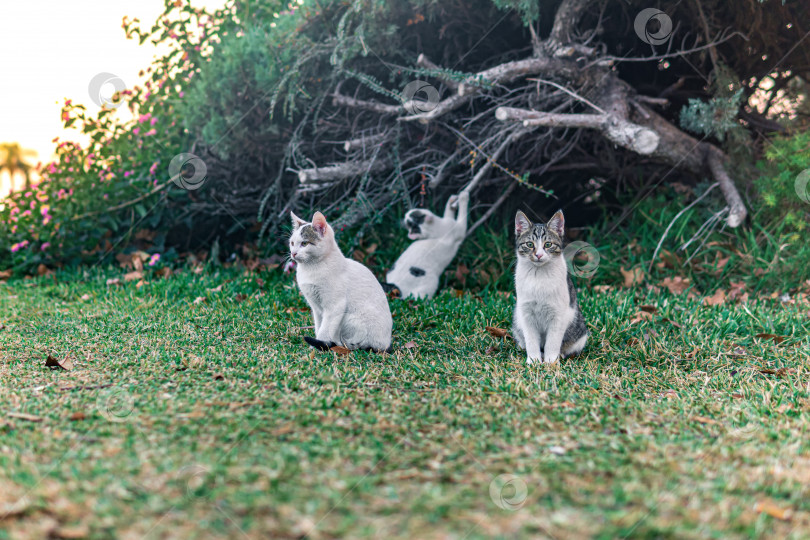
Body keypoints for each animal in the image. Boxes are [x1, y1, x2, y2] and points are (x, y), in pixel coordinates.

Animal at [288, 211, 392, 354]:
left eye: (304, 243)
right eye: (292, 243)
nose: (293, 253)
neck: (311, 269)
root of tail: (386, 344)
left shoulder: (335, 307)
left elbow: (324, 330)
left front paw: (319, 347)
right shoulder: (316, 308)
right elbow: (319, 326)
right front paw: (315, 346)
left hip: (349, 318)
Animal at [512, 209, 588, 364]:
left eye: (548, 244)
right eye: (530, 244)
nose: (539, 255)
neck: (539, 274)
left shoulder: (558, 313)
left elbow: (553, 342)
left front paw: (551, 363)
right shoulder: (526, 312)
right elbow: (531, 339)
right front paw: (533, 361)